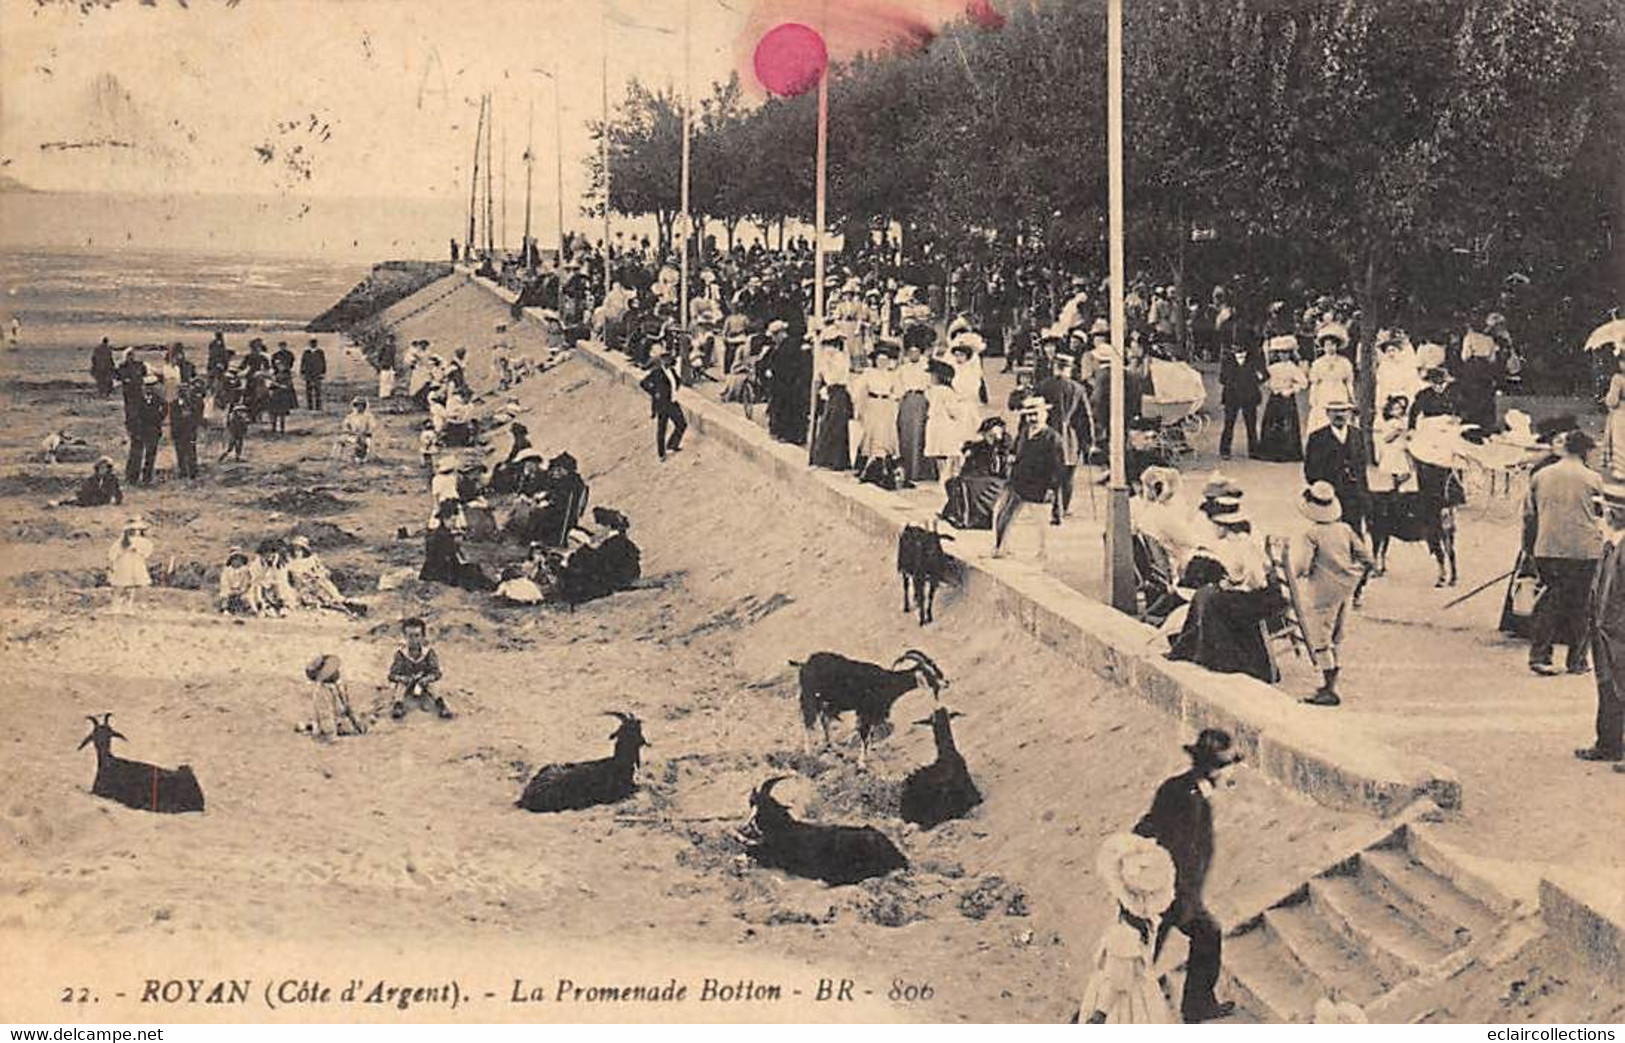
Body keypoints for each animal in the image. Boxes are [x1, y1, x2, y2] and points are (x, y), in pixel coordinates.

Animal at [789, 649, 949, 763]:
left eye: (935, 667)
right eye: (929, 673)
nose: (946, 683)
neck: (886, 682)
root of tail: (804, 663)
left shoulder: (874, 712)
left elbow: (870, 735)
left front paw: (869, 754)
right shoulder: (866, 711)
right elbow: (865, 736)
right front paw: (862, 763)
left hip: (827, 702)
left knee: (824, 721)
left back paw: (833, 746)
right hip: (810, 698)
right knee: (808, 723)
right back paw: (809, 753)